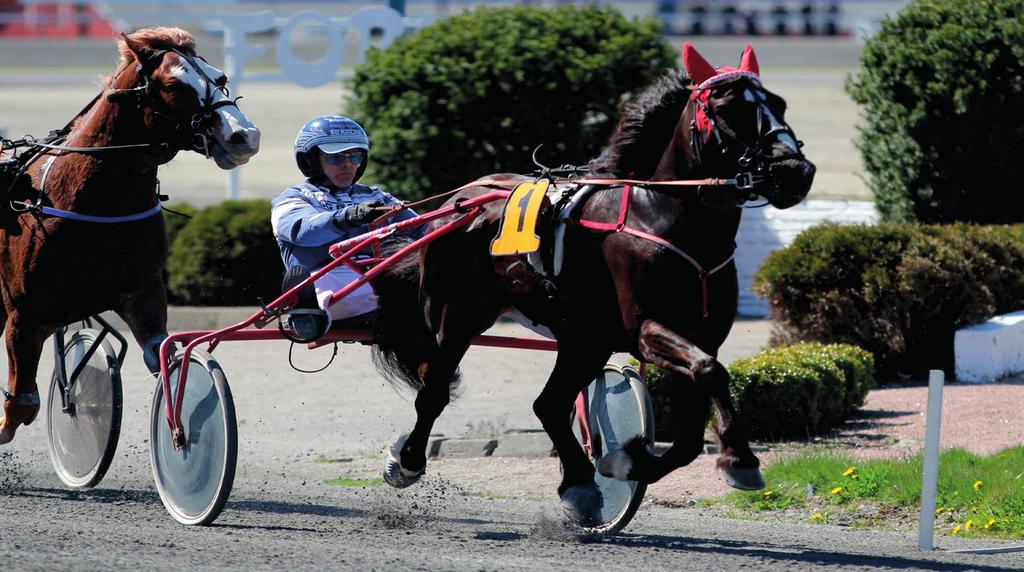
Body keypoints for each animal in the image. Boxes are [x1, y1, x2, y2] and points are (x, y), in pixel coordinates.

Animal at [0, 29, 260, 446]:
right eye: (174, 85)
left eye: (219, 76)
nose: (244, 136)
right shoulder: (26, 314)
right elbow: (22, 404)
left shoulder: (143, 292)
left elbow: (164, 358)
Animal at [374, 43, 815, 523]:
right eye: (729, 109)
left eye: (780, 104)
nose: (795, 170)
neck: (664, 216)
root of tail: (458, 200)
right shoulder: (645, 329)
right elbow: (710, 371)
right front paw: (740, 459)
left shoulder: (701, 333)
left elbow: (688, 434)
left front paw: (630, 460)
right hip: (458, 316)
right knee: (434, 390)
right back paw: (407, 460)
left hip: (584, 337)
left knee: (548, 404)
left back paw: (580, 483)